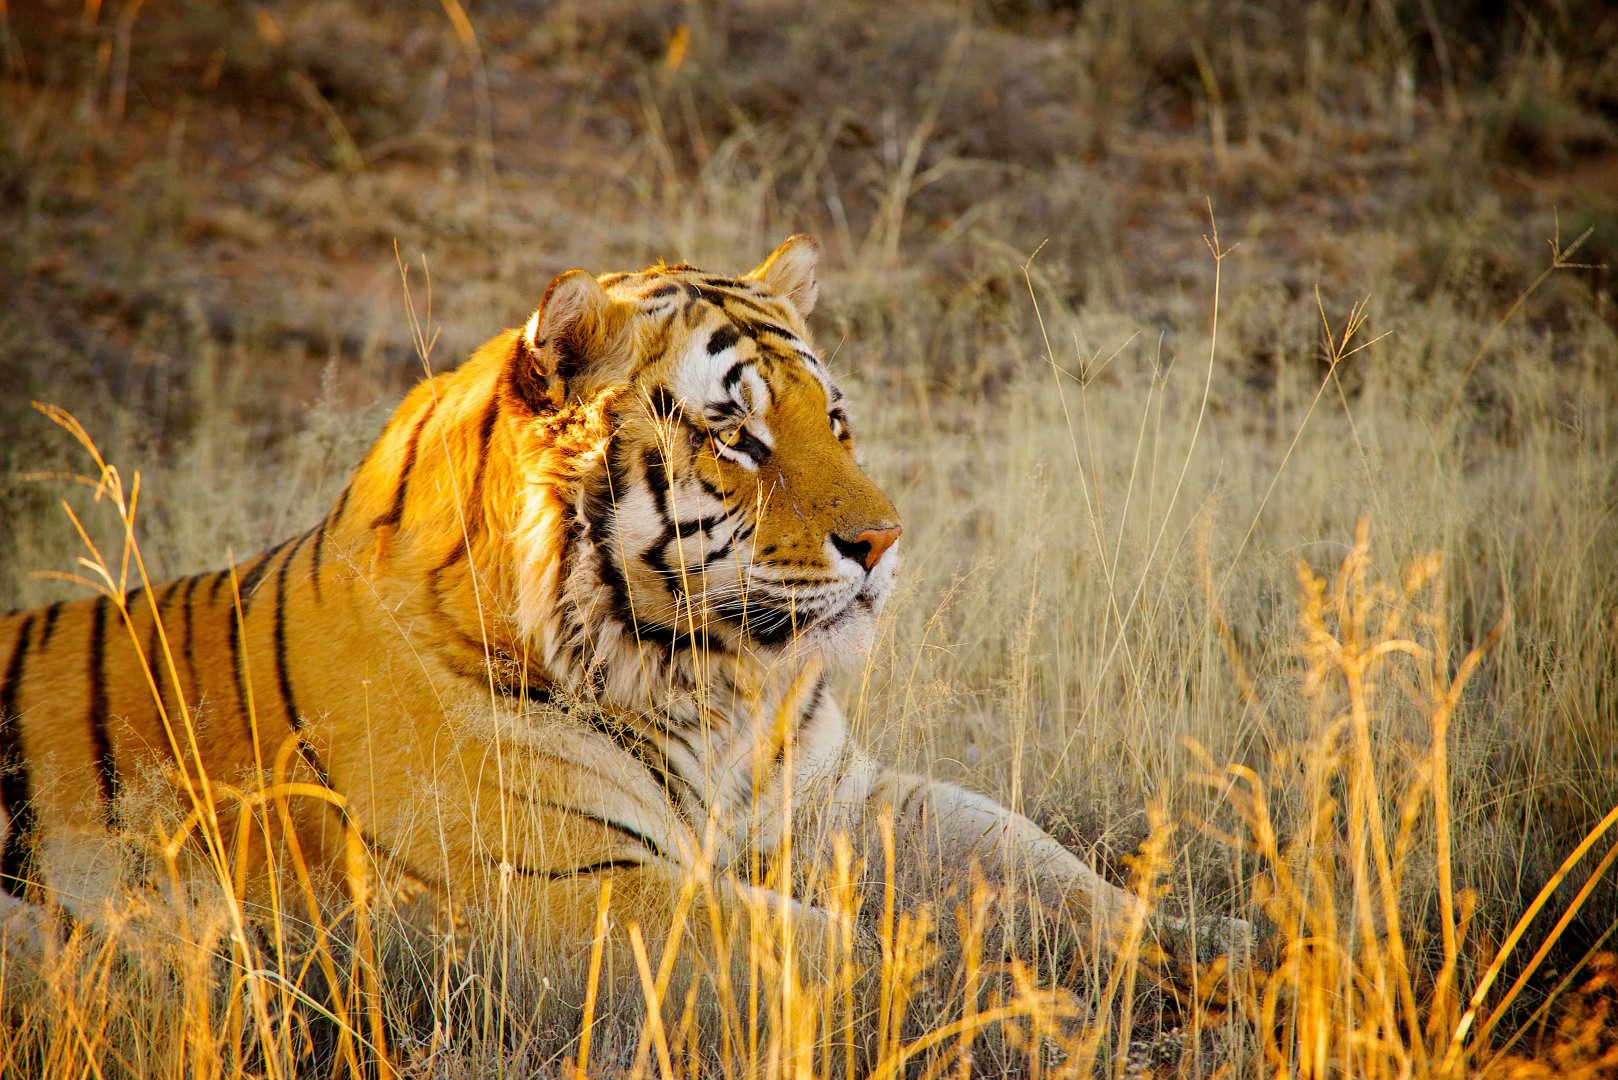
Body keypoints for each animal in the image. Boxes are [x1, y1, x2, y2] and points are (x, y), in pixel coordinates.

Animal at [0, 241, 1249, 1036]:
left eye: (834, 419)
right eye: (737, 435)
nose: (885, 541)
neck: (713, 687)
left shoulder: (851, 806)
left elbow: (1063, 879)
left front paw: (1230, 951)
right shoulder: (563, 890)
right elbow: (863, 951)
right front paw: (1029, 1008)